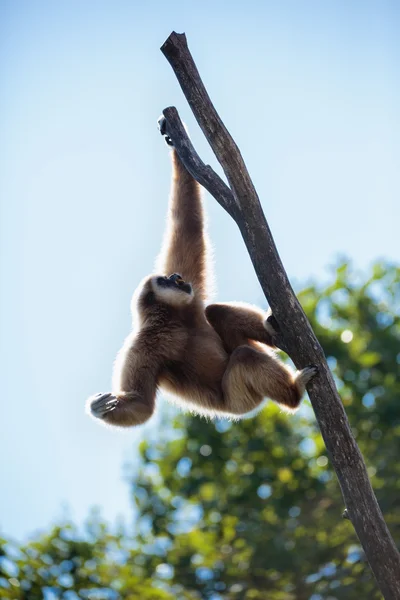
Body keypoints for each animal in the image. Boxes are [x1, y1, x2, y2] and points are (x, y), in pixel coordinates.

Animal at [86, 117, 318, 426]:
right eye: (165, 280)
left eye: (173, 277)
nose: (177, 278)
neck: (174, 320)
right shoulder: (140, 347)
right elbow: (142, 405)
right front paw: (97, 408)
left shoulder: (191, 299)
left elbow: (187, 225)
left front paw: (173, 138)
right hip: (240, 398)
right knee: (244, 356)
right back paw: (294, 393)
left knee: (218, 312)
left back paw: (274, 329)